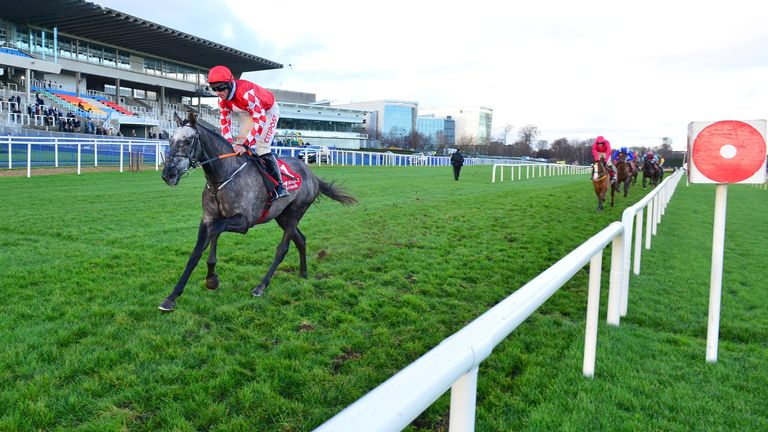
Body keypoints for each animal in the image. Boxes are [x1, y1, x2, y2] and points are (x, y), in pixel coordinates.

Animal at [160, 111, 358, 310]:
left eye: (187, 141)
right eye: (170, 140)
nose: (168, 175)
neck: (223, 176)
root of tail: (312, 174)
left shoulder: (243, 222)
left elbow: (214, 232)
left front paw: (211, 278)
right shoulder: (209, 217)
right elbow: (197, 252)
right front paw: (174, 296)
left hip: (296, 211)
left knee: (282, 248)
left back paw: (261, 286)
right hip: (282, 216)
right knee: (301, 240)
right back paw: (303, 274)